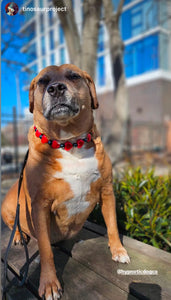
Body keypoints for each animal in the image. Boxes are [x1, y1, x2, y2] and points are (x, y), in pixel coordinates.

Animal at [1, 64, 130, 298]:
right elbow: (45, 250)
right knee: (13, 225)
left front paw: (118, 250)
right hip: (7, 208)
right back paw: (18, 237)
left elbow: (113, 225)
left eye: (74, 76)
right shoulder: (40, 206)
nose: (56, 88)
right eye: (43, 81)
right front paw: (49, 283)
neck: (68, 142)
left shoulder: (107, 191)